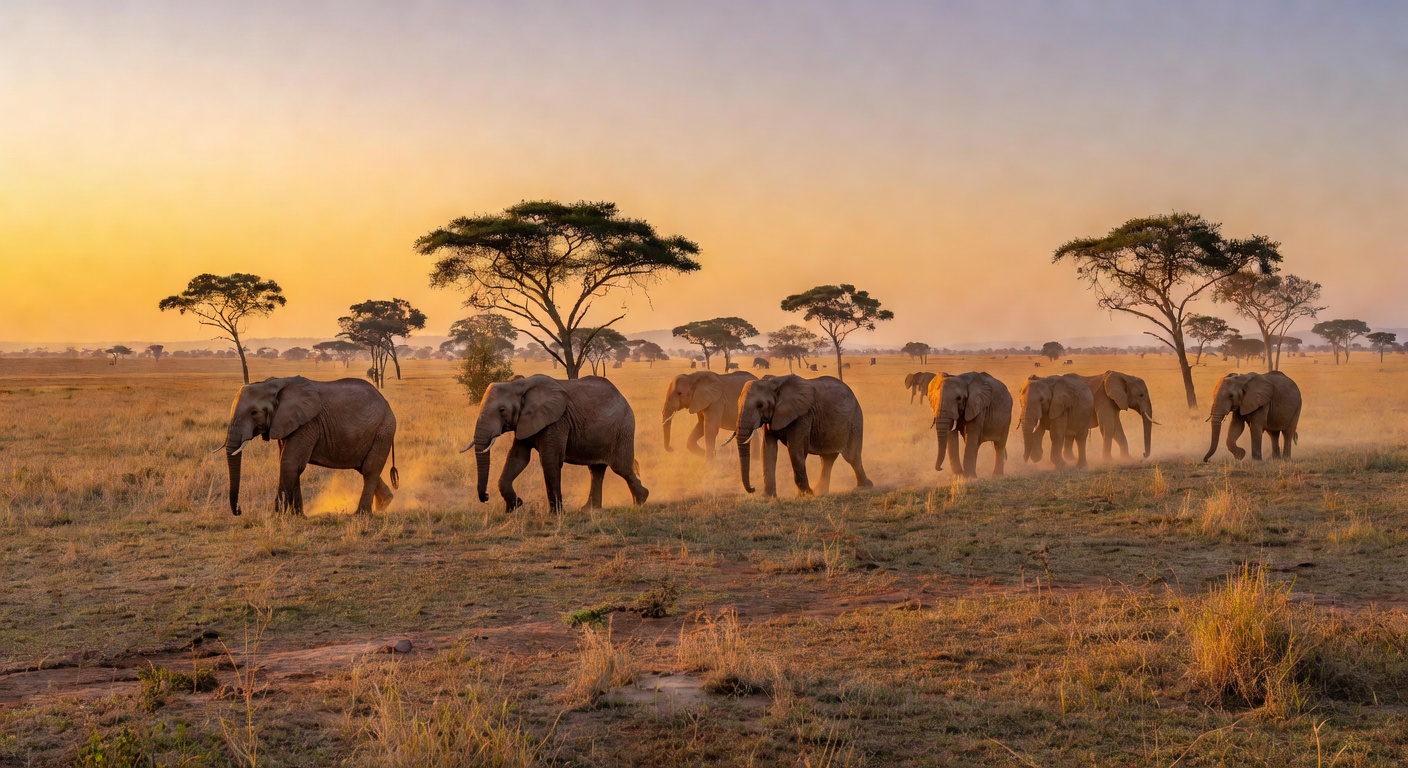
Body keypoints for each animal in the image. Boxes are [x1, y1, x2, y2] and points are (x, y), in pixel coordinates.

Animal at [224, 376, 398, 516]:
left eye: (254, 413)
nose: (239, 511)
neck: (274, 384)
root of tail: (385, 402)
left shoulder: (307, 423)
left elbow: (290, 463)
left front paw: (276, 517)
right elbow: (289, 462)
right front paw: (297, 516)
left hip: (384, 429)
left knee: (369, 468)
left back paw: (361, 514)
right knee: (362, 466)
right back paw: (385, 504)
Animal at [469, 374, 647, 513]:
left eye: (502, 410)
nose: (485, 497)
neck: (519, 384)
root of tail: (622, 397)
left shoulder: (557, 421)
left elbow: (550, 460)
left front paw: (556, 515)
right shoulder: (524, 421)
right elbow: (518, 458)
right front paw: (514, 507)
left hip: (622, 427)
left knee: (621, 467)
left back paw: (641, 501)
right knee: (596, 469)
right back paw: (590, 509)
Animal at [735, 375, 871, 497]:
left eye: (760, 405)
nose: (753, 488)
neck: (773, 381)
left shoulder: (802, 416)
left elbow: (795, 450)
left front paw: (806, 495)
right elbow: (768, 450)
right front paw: (768, 497)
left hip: (855, 419)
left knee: (851, 456)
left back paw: (864, 487)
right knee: (827, 459)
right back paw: (820, 491)